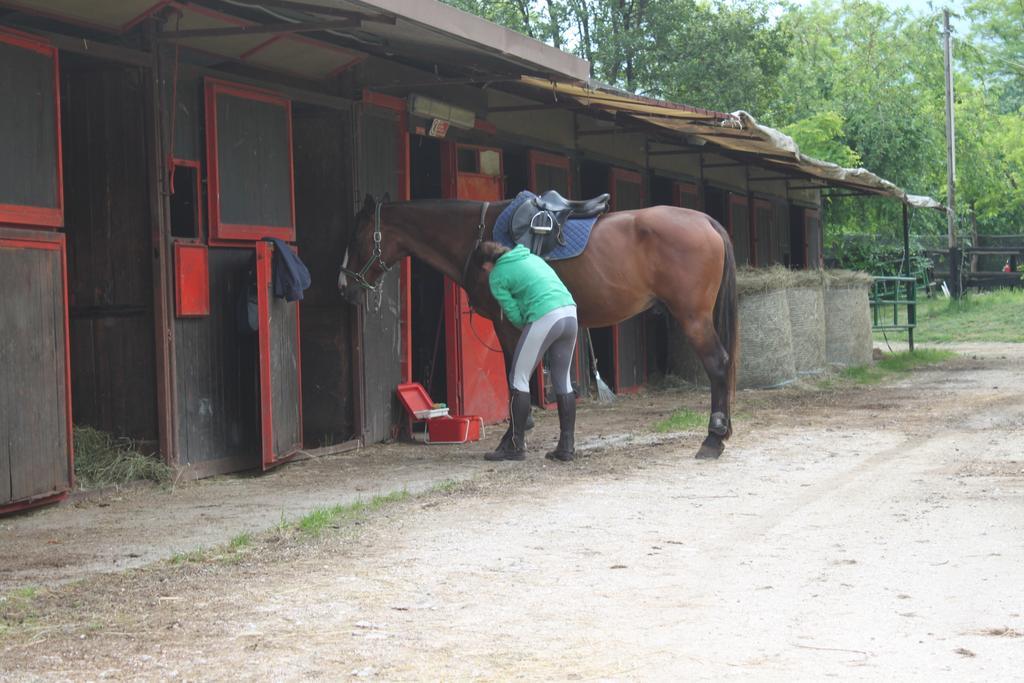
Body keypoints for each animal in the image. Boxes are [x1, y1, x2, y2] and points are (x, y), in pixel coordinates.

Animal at [337, 194, 737, 456]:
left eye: (356, 237)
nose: (345, 287)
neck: (478, 234)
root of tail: (706, 221)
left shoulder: (509, 326)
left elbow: (516, 375)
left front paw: (512, 440)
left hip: (694, 318)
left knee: (718, 365)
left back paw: (713, 438)